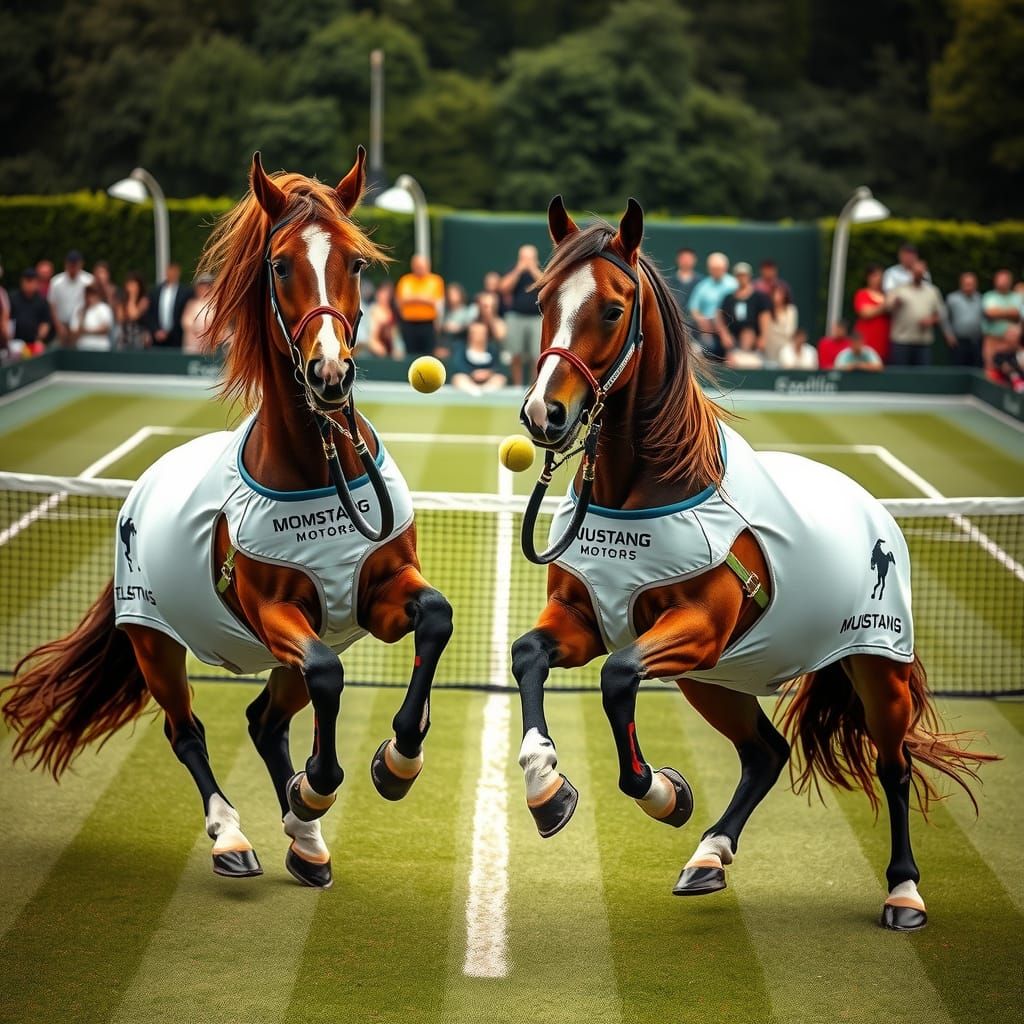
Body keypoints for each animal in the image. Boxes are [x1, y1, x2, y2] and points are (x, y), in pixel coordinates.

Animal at [1, 150, 453, 889]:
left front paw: (396, 760)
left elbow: (434, 619)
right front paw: (318, 783)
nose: (330, 374)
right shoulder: (274, 613)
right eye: (281, 265)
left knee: (265, 720)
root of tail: (144, 486)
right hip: (153, 639)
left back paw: (306, 839)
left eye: (356, 262)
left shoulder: (376, 595)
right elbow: (327, 674)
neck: (318, 468)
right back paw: (234, 835)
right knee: (188, 730)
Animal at [510, 195, 996, 930]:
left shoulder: (695, 629)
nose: (545, 414)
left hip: (873, 668)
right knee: (766, 755)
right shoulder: (583, 616)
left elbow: (619, 677)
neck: (648, 486)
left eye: (614, 309)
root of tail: (873, 509)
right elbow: (528, 657)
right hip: (713, 678)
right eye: (542, 300)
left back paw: (904, 889)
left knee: (895, 765)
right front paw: (546, 784)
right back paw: (709, 854)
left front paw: (659, 790)